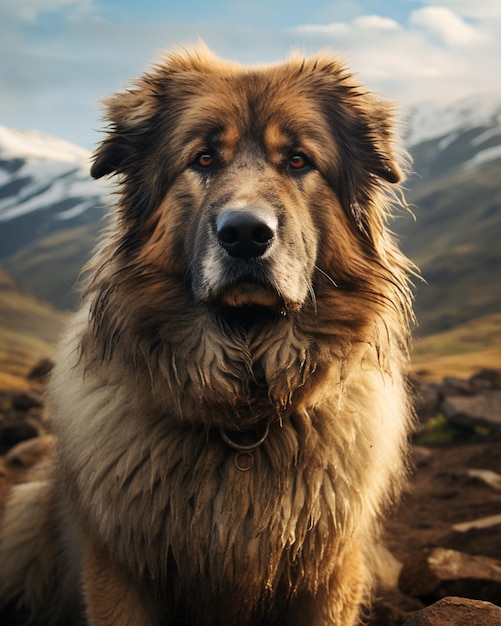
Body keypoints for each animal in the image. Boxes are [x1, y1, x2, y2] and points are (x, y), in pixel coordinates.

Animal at [0, 45, 414, 624]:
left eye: (298, 161)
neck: (243, 419)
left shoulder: (329, 575)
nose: (245, 234)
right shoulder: (119, 571)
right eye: (203, 159)